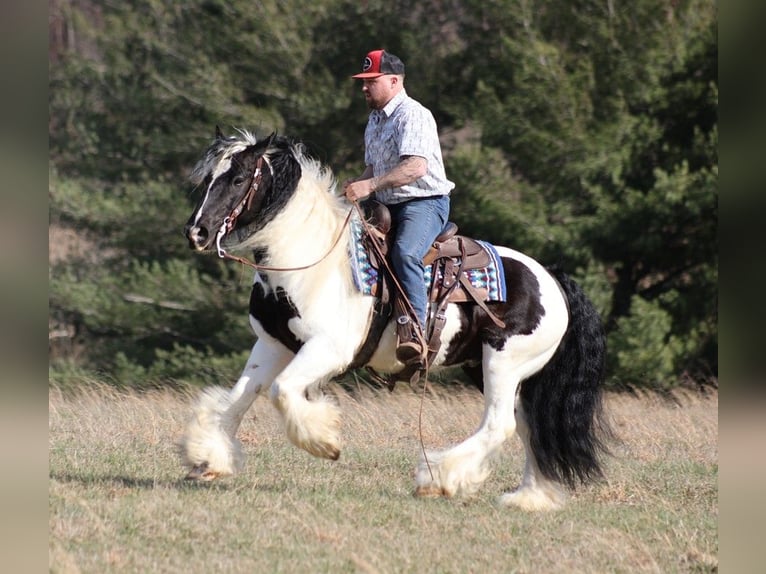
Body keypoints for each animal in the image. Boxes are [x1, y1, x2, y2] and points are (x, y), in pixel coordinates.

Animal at [180, 128, 612, 510]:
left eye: (237, 178)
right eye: (208, 178)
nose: (196, 232)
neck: (309, 260)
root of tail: (551, 278)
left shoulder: (328, 350)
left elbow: (281, 391)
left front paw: (325, 441)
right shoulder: (271, 345)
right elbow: (239, 399)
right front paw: (210, 459)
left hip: (503, 363)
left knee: (500, 424)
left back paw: (439, 479)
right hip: (492, 367)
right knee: (528, 425)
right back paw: (529, 497)